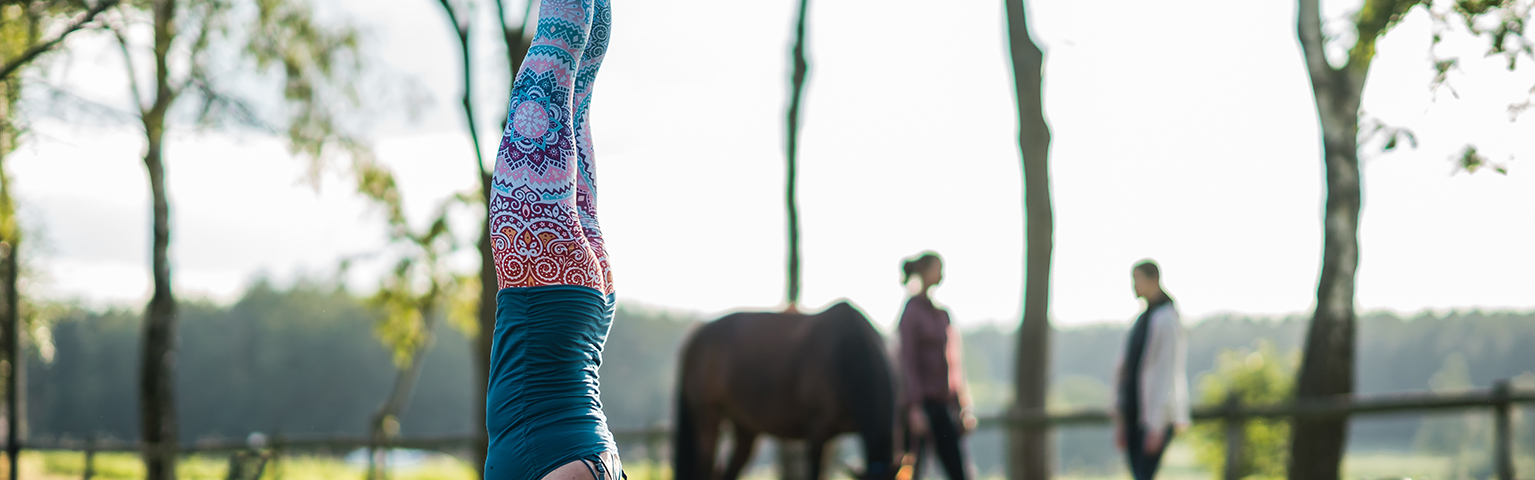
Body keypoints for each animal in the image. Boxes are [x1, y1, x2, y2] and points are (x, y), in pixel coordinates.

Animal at [672, 301, 900, 480]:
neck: (843, 353)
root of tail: (697, 336)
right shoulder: (817, 432)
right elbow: (815, 472)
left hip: (744, 427)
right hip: (708, 414)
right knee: (704, 467)